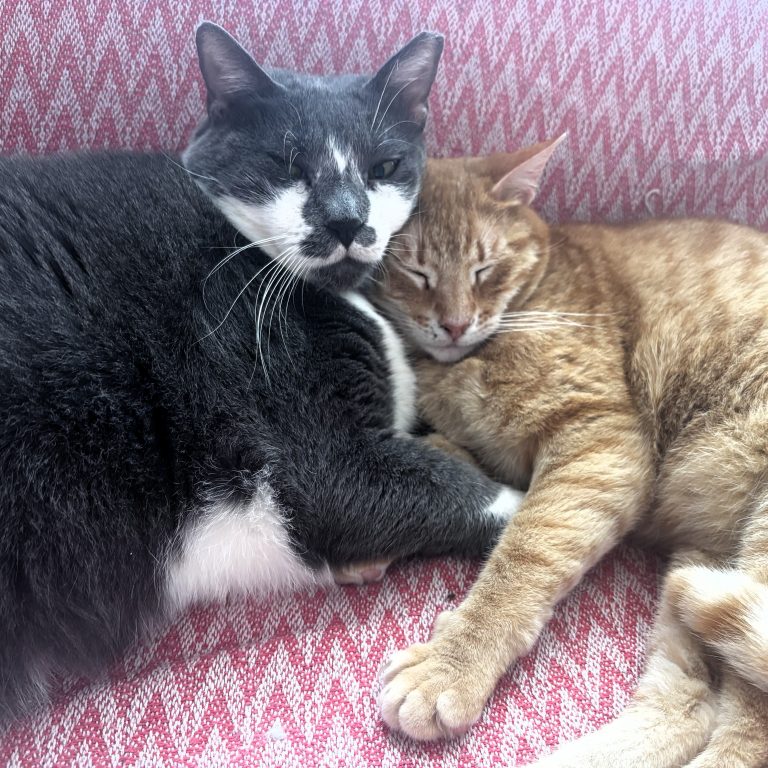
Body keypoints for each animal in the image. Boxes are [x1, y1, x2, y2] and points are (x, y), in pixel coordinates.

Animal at [375, 136, 768, 767]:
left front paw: (449, 667)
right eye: (416, 274)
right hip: (695, 572)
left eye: (485, 269)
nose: (454, 324)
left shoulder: (598, 442)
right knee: (683, 709)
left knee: (748, 734)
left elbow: (521, 560)